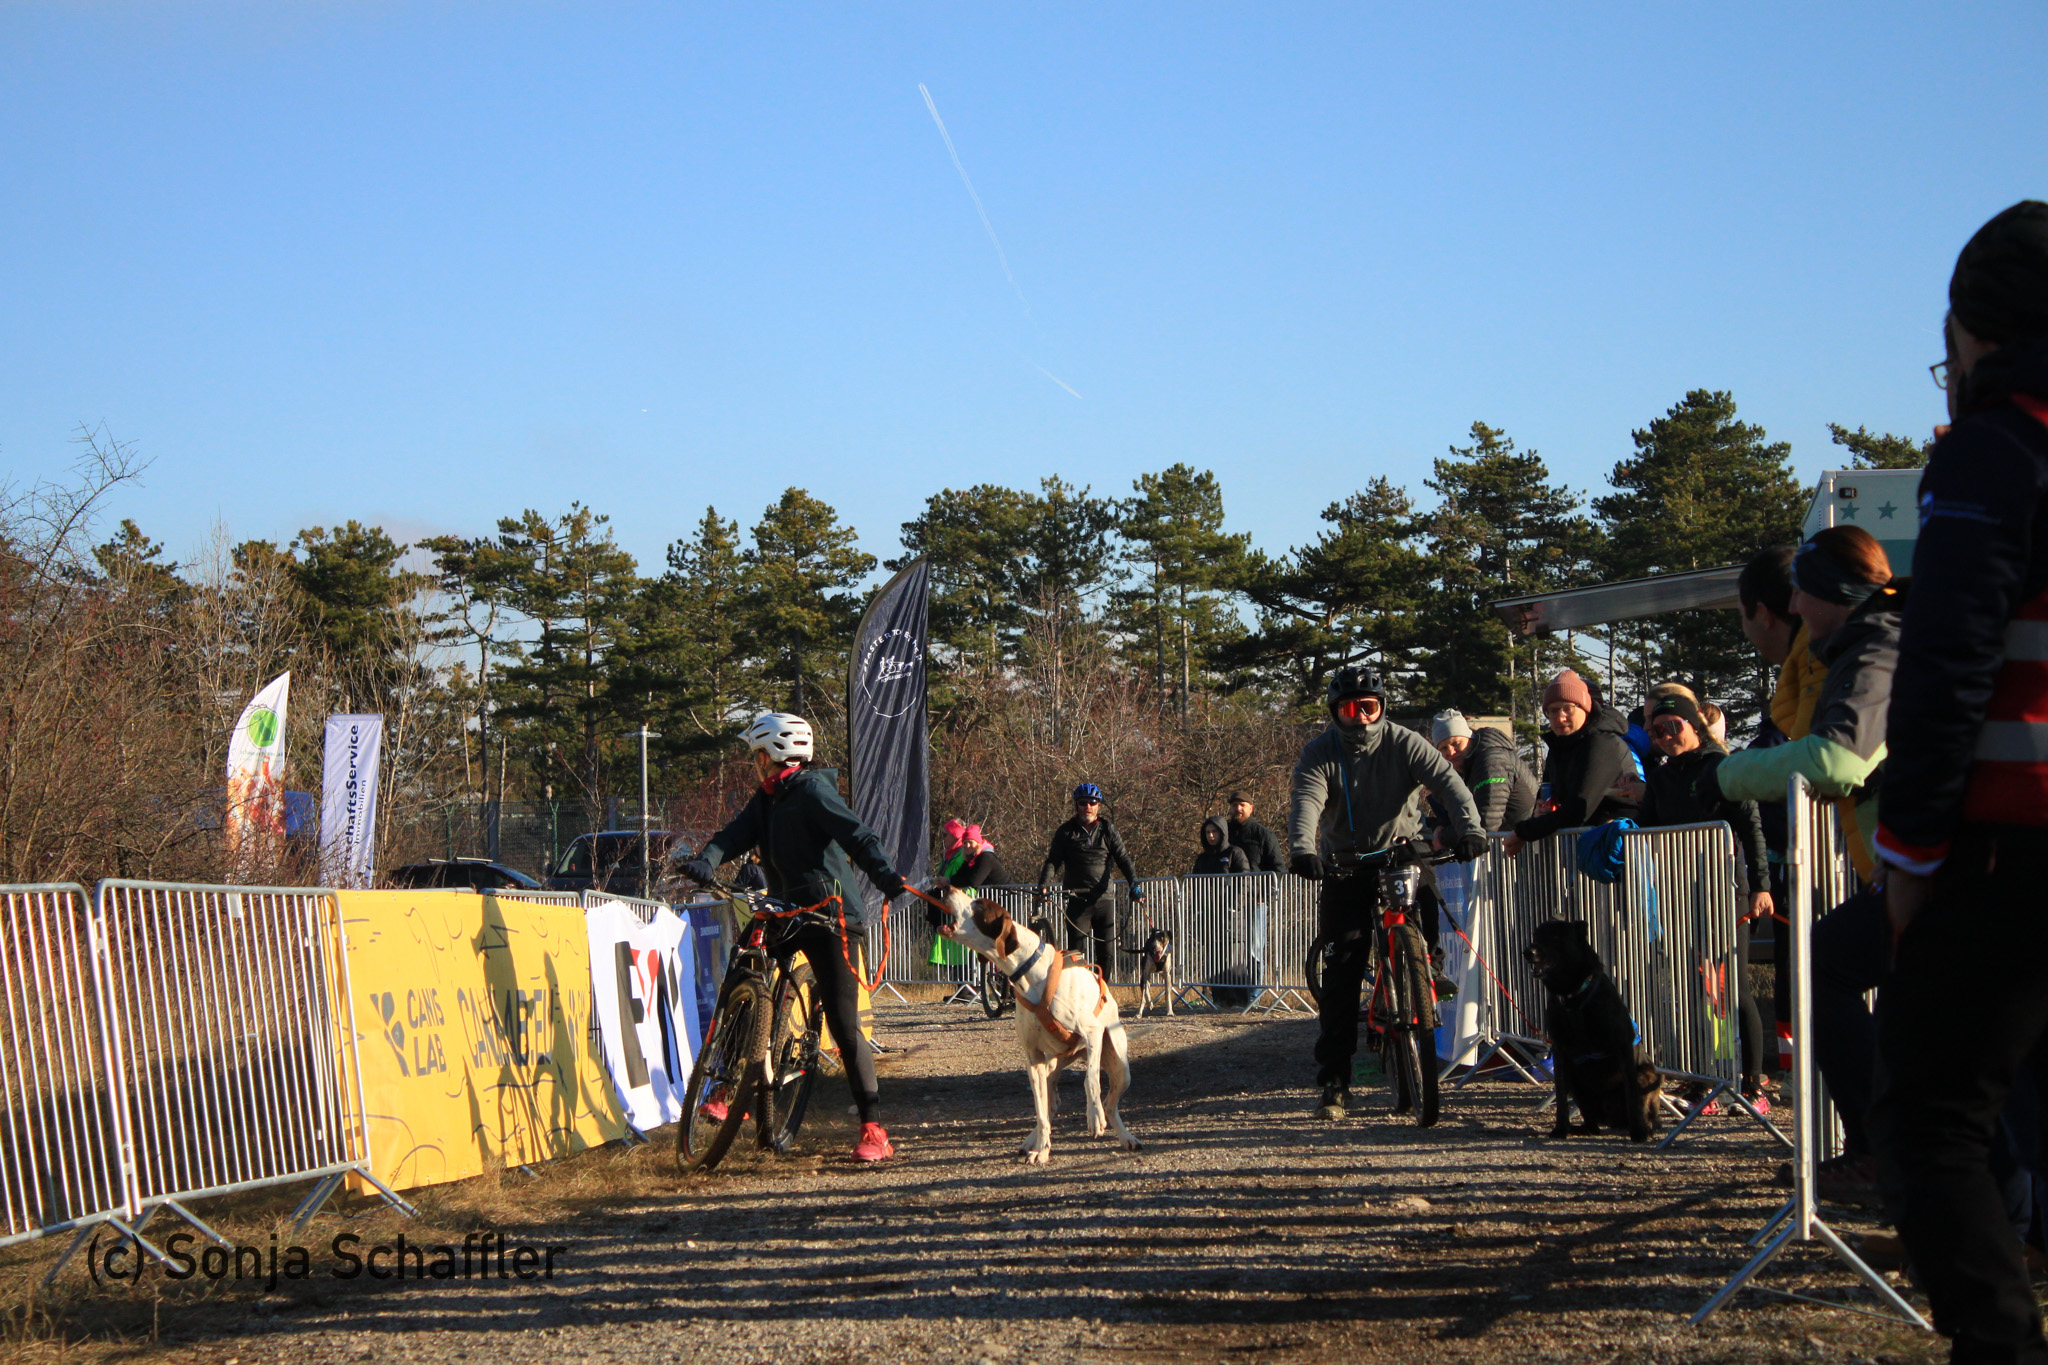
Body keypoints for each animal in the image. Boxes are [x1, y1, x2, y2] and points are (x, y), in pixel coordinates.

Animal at [929, 883, 1141, 1163]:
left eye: (979, 905)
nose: (945, 885)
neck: (1029, 968)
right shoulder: (1034, 1058)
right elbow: (1040, 1111)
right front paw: (1041, 1149)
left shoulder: (1092, 1033)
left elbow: (1090, 1080)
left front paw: (1093, 1117)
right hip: (1051, 1065)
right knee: (1051, 1107)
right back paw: (1034, 1142)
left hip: (1120, 1066)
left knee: (1110, 1102)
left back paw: (1124, 1135)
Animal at [1523, 919, 1659, 1142]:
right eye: (1536, 935)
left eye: (1555, 937)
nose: (1528, 952)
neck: (1573, 997)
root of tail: (1612, 1121)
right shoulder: (1560, 1050)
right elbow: (1560, 1098)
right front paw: (1560, 1129)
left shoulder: (1622, 1045)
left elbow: (1632, 1094)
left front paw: (1638, 1132)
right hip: (1576, 1082)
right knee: (1592, 1124)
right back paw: (1580, 1128)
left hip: (1648, 1076)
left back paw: (1645, 1127)